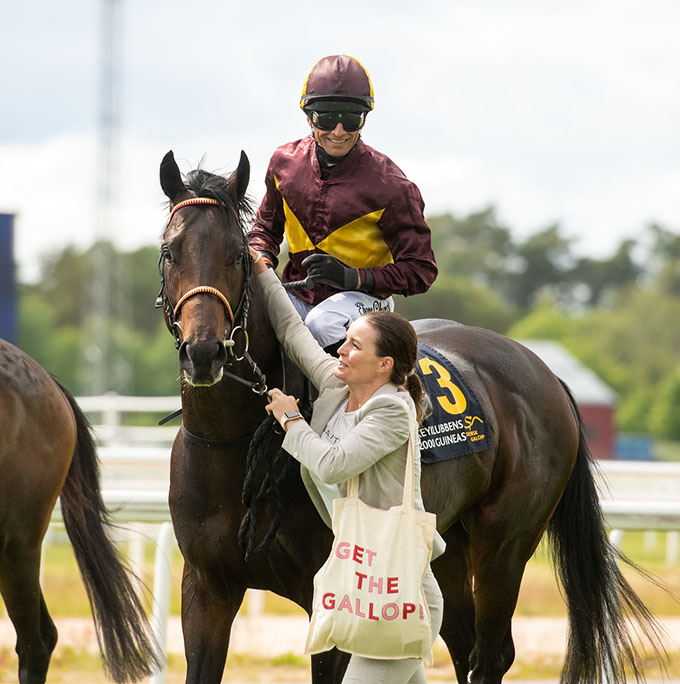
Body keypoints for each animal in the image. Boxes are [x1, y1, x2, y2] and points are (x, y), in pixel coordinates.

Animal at [159, 151, 664, 684]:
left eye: (237, 255)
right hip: (442, 544)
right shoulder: (205, 589)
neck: (231, 442)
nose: (204, 353)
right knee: (463, 645)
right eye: (170, 252)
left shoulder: (335, 594)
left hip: (505, 544)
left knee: (491, 654)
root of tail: (544, 370)